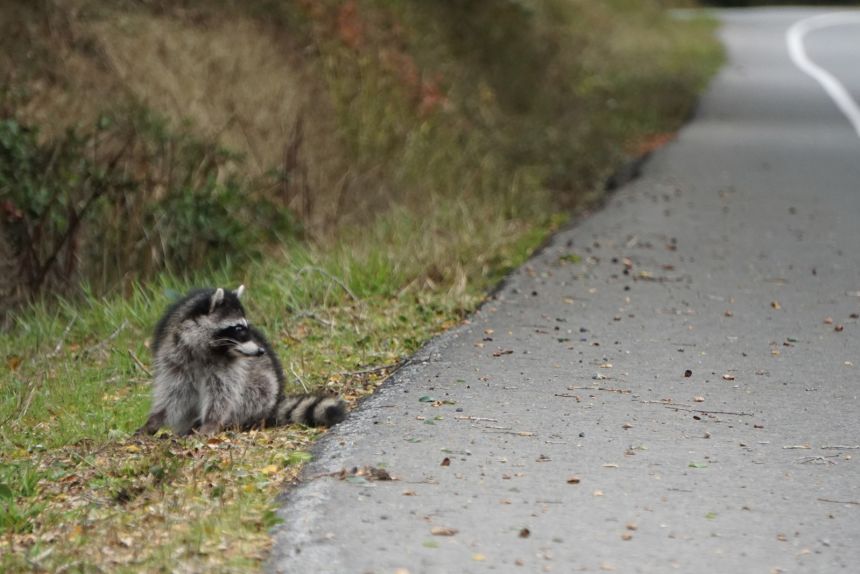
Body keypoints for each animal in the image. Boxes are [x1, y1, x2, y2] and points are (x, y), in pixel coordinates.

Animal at [137, 286, 346, 436]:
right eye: (238, 329)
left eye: (246, 327)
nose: (261, 351)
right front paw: (155, 420)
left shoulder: (228, 367)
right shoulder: (174, 357)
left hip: (263, 389)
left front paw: (211, 422)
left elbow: (222, 394)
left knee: (250, 394)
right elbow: (173, 393)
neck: (207, 349)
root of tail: (273, 404)